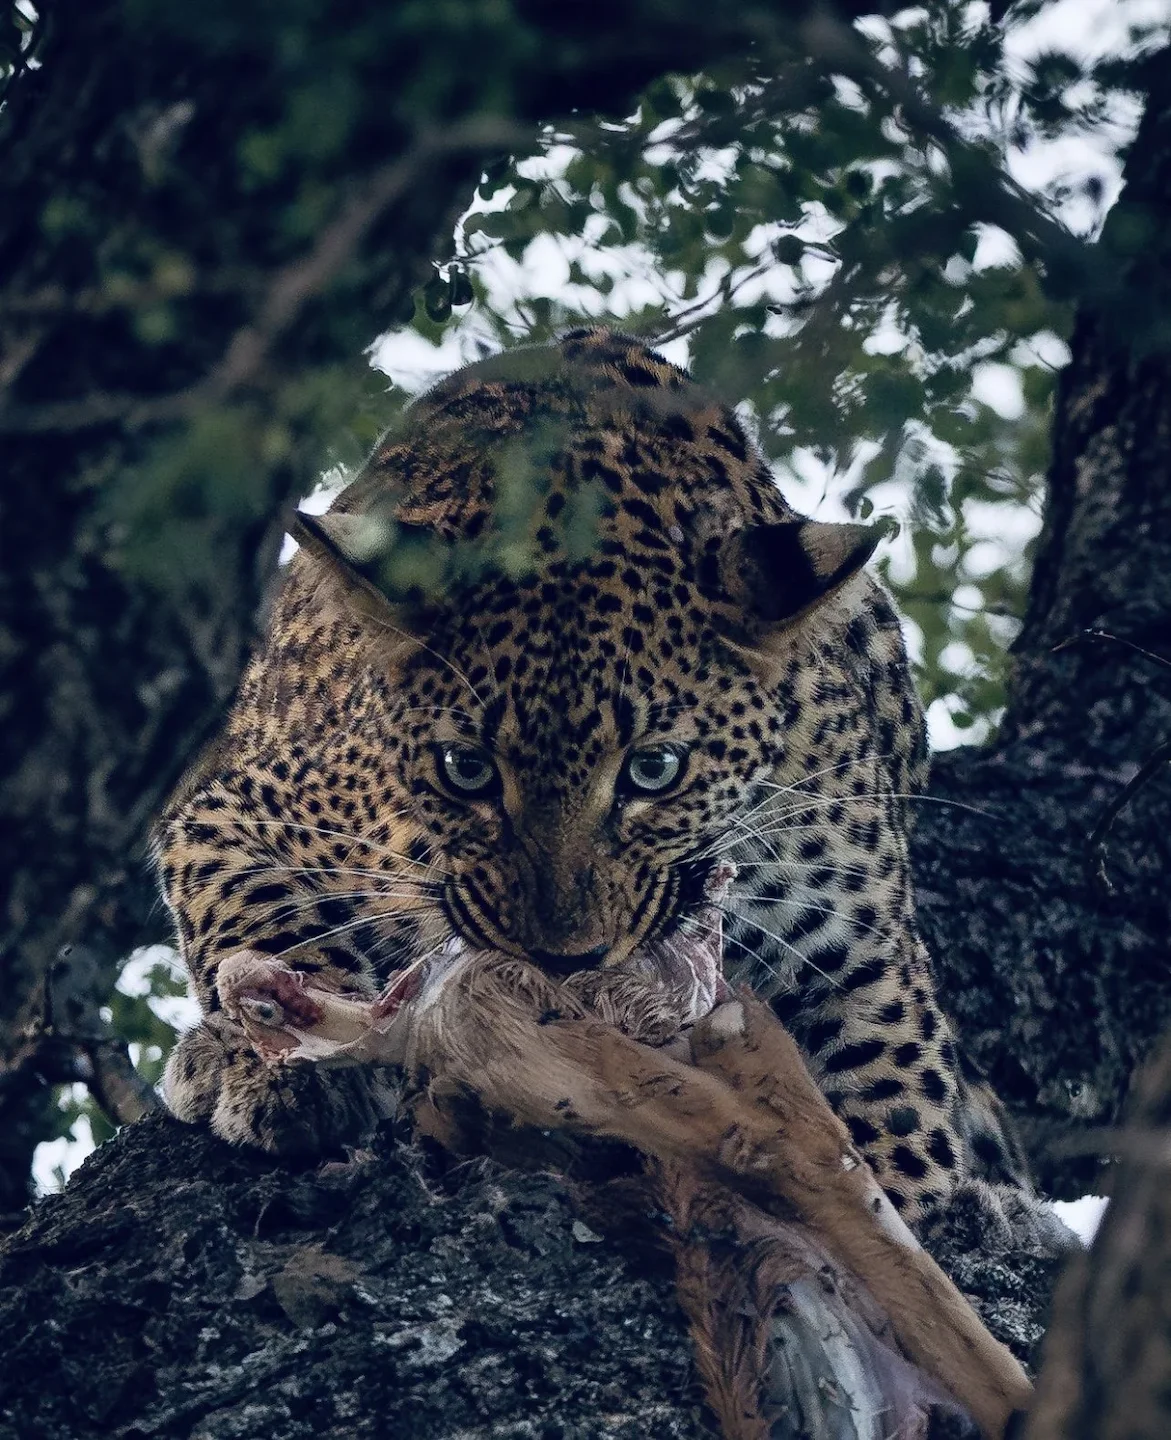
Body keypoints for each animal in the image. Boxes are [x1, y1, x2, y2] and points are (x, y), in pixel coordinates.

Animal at [158, 326, 1036, 1228]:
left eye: (655, 768)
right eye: (466, 769)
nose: (563, 960)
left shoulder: (858, 952)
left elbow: (892, 1108)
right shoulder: (238, 805)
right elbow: (260, 913)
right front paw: (277, 1064)